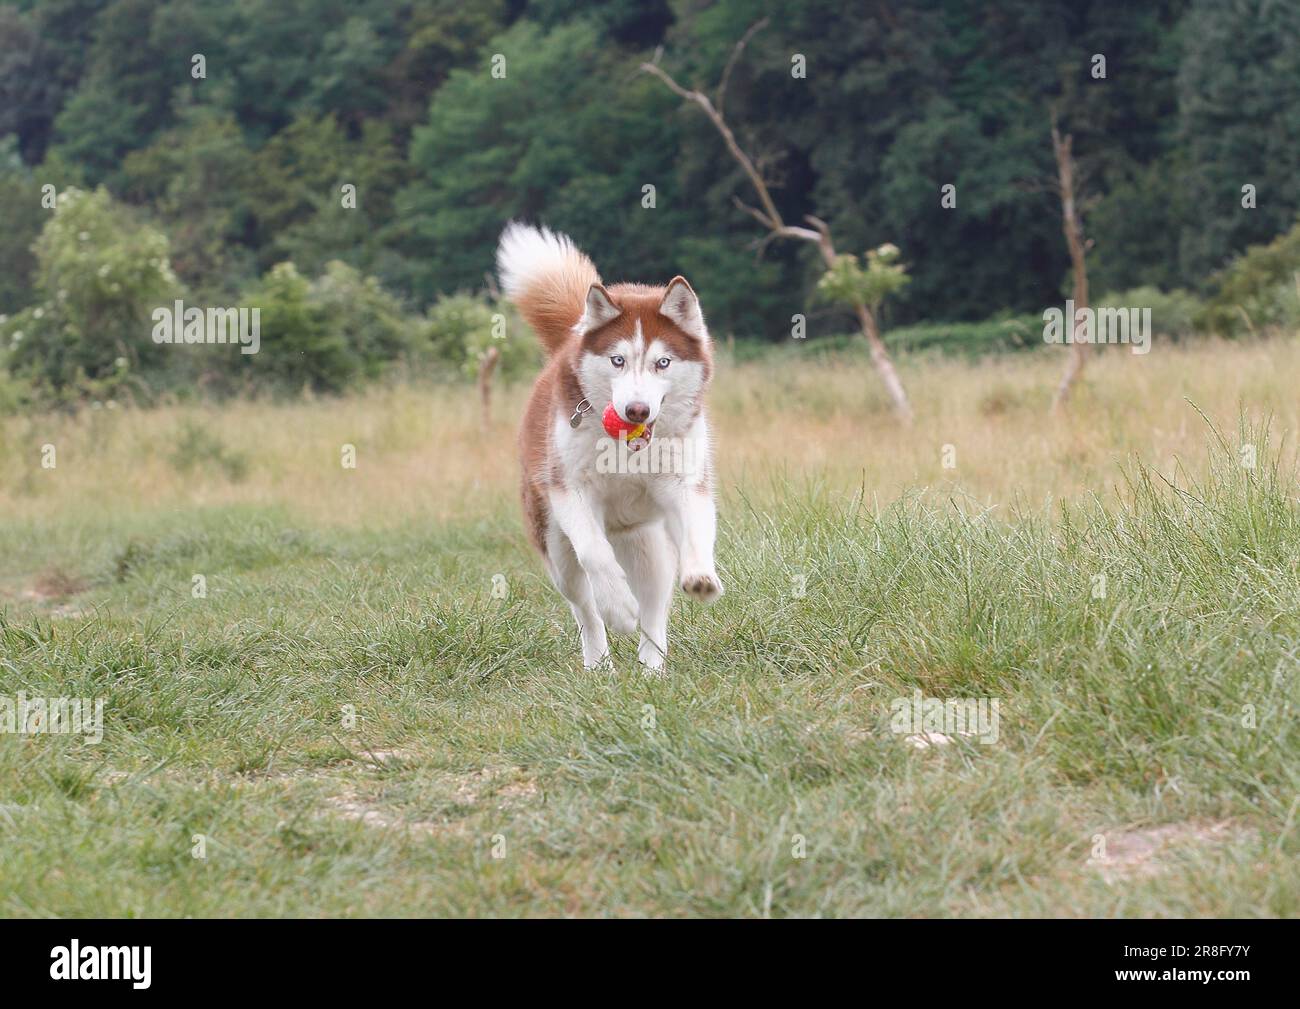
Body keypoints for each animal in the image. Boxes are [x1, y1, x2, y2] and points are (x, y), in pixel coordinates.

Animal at [493, 224, 722, 676]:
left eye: (663, 363)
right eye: (618, 360)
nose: (637, 409)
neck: (627, 449)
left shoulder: (685, 481)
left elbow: (698, 527)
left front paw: (702, 575)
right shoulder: (571, 491)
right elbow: (596, 556)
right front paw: (618, 609)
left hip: (648, 546)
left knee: (655, 605)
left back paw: (652, 666)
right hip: (556, 548)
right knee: (584, 606)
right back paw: (599, 663)